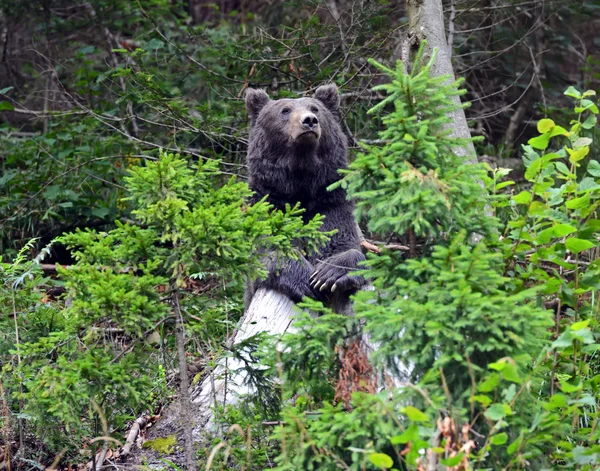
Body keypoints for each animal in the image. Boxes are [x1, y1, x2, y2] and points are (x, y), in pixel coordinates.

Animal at [244, 84, 366, 306]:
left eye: (315, 108)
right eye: (285, 110)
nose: (309, 120)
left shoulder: (329, 203)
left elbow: (341, 241)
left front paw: (328, 274)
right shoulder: (269, 204)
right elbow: (268, 250)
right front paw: (304, 282)